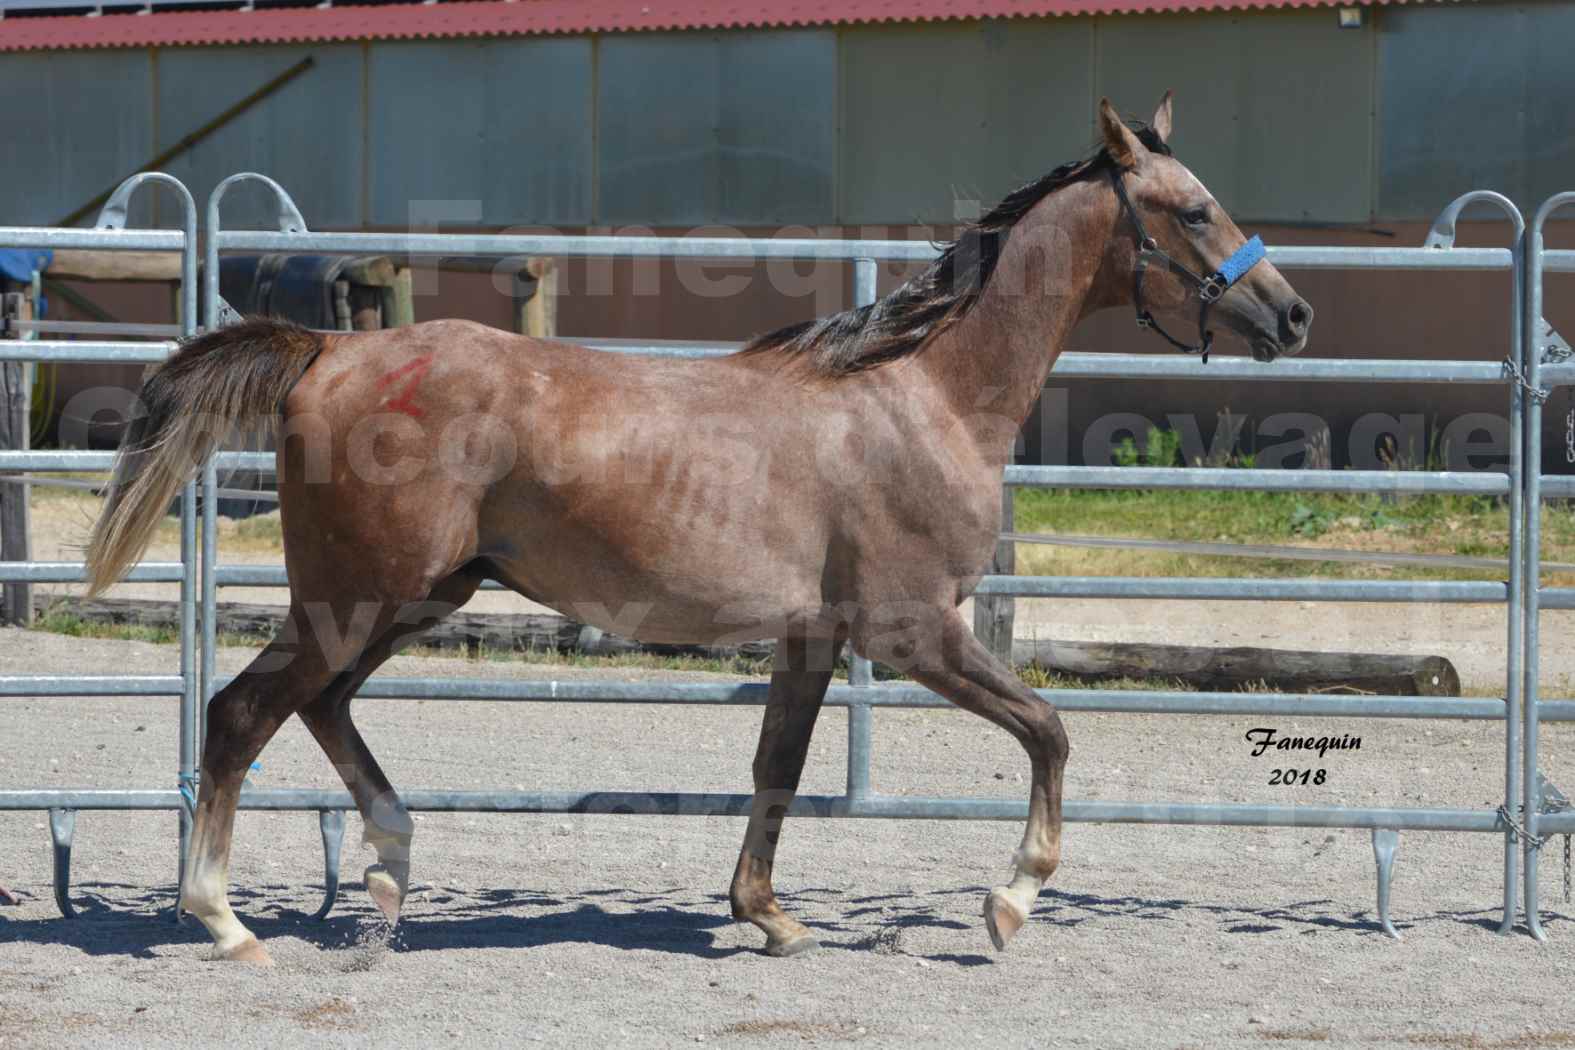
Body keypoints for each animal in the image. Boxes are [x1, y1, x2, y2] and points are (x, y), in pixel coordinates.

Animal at [86, 94, 1316, 963]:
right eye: (1193, 208)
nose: (1294, 314)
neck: (923, 393)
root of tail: (329, 349)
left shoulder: (813, 637)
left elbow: (778, 764)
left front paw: (764, 915)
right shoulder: (914, 631)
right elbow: (1050, 731)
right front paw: (1009, 900)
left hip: (414, 596)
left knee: (321, 709)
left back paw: (389, 865)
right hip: (358, 598)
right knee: (242, 714)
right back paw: (224, 920)